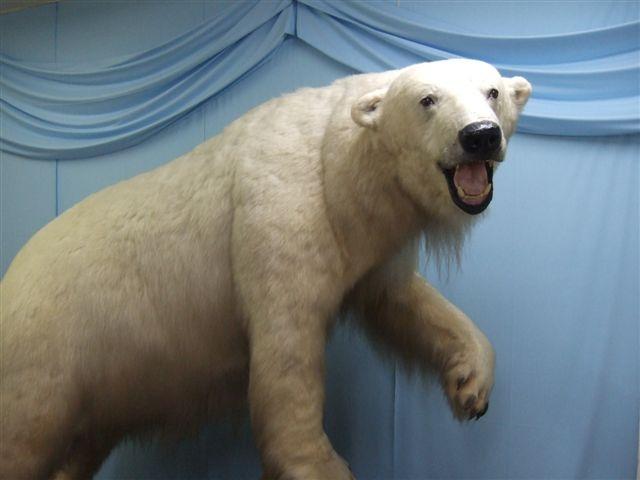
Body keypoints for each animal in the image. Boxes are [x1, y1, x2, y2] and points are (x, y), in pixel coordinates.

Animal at [0, 58, 531, 480]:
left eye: (493, 92)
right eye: (427, 99)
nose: (480, 136)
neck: (337, 167)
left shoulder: (367, 242)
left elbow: (400, 301)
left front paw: (472, 383)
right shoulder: (281, 212)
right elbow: (287, 349)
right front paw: (320, 465)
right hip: (47, 348)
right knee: (25, 432)